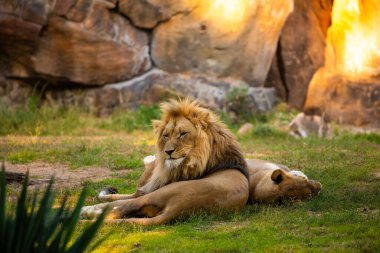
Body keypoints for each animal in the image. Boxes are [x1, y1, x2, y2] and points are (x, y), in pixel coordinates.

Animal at [81, 99, 320, 225]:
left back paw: (85, 212)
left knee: (116, 209)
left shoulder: (150, 187)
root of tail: (179, 209)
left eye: (183, 133)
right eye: (166, 135)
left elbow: (117, 198)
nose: (167, 152)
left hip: (156, 195)